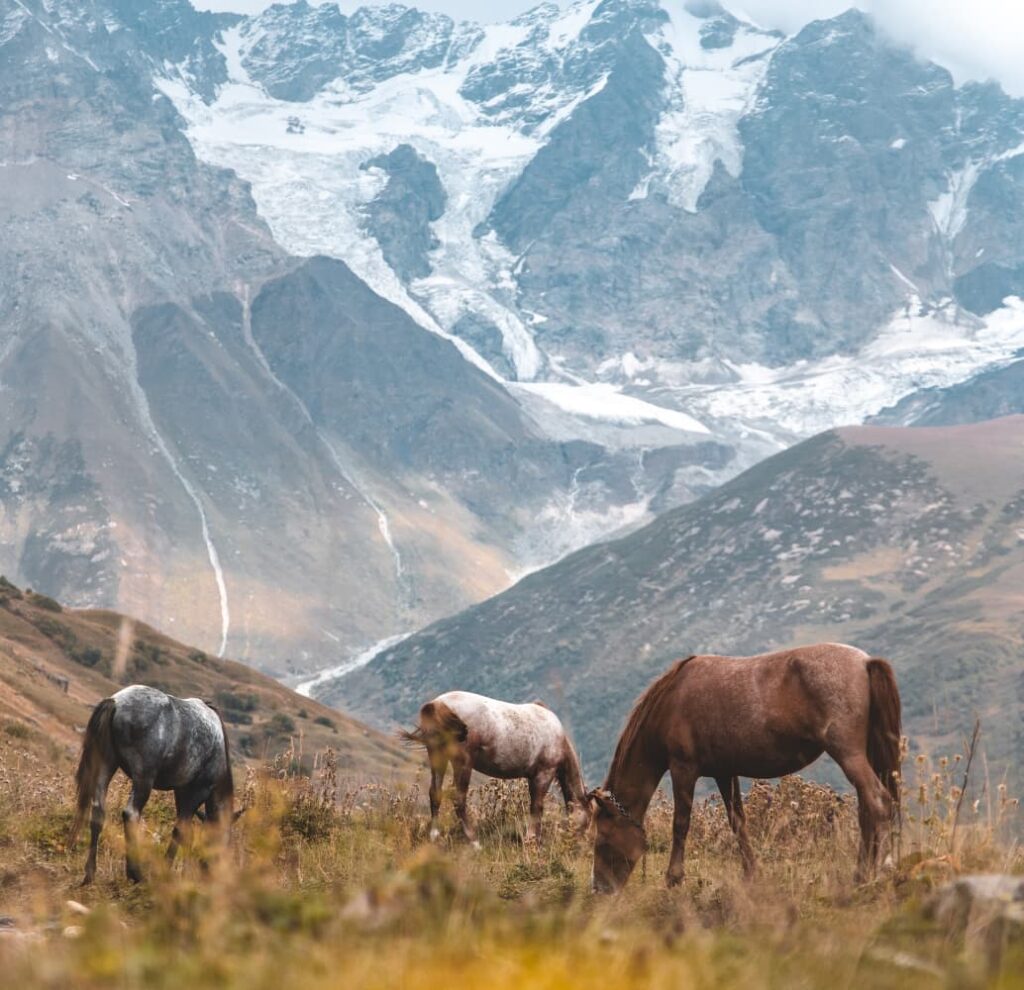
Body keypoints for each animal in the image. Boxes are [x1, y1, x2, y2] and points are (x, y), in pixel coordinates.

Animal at [69, 684, 235, 884]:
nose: (211, 876)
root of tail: (116, 701)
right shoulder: (198, 790)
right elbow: (180, 831)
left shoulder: (181, 791)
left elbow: (187, 834)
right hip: (144, 778)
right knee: (131, 813)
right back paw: (135, 873)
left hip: (105, 764)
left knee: (98, 811)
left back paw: (90, 873)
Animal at [402, 691, 590, 845]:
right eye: (588, 821)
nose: (577, 844)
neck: (559, 738)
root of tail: (437, 703)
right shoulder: (543, 774)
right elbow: (537, 806)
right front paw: (532, 839)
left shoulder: (533, 777)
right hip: (463, 763)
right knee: (459, 800)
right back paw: (474, 841)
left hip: (437, 756)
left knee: (435, 794)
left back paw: (434, 836)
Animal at [588, 644, 901, 894]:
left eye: (602, 839)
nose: (600, 889)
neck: (672, 699)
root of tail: (865, 662)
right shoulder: (724, 773)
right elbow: (737, 821)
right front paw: (751, 874)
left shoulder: (683, 769)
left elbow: (681, 824)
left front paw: (673, 878)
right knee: (867, 810)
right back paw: (861, 875)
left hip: (848, 754)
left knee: (878, 801)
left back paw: (881, 872)